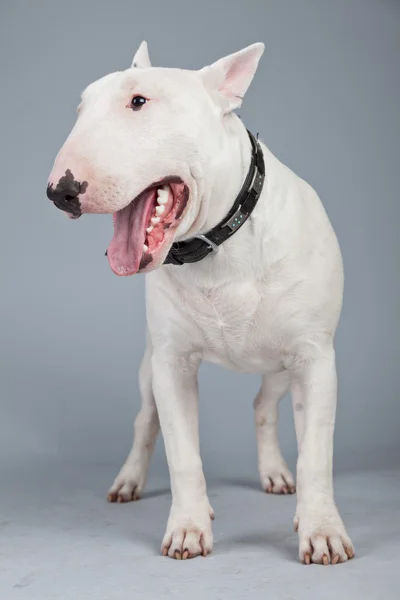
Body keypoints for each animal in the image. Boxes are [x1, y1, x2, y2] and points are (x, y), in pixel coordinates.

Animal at [45, 41, 354, 564]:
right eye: (81, 108)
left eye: (139, 102)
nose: (60, 191)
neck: (218, 246)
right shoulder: (172, 364)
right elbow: (182, 454)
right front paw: (189, 528)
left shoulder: (315, 359)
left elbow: (316, 455)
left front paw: (322, 531)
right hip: (149, 368)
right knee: (145, 421)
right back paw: (129, 480)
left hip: (282, 368)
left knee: (263, 404)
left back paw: (275, 472)